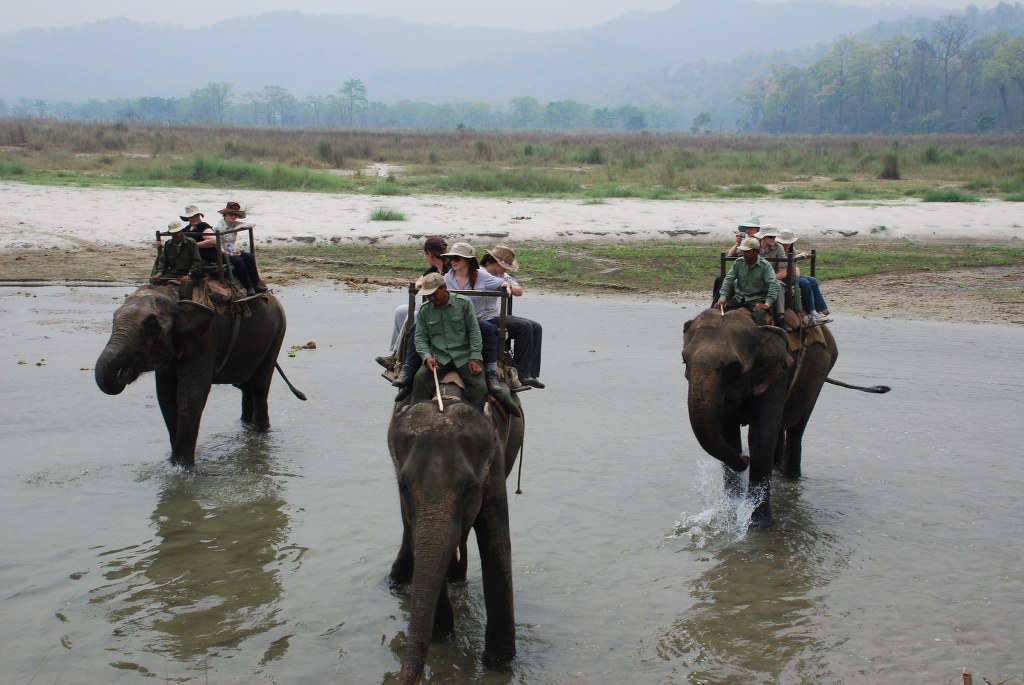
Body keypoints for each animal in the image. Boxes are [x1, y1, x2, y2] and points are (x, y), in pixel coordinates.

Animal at [95, 284, 305, 466]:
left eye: (152, 326)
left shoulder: (205, 339)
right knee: (246, 385)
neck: (176, 295)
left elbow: (192, 394)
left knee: (261, 383)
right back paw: (245, 425)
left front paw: (183, 469)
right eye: (113, 319)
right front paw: (174, 464)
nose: (126, 370)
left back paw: (260, 431)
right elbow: (165, 396)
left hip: (278, 333)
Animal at [387, 399, 516, 685]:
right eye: (403, 485)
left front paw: (500, 664)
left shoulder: (495, 464)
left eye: (469, 488)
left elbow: (497, 546)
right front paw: (443, 636)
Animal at [682, 308, 887, 527]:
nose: (745, 459)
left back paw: (791, 475)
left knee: (798, 425)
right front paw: (729, 513)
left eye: (733, 367)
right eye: (684, 360)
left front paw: (759, 526)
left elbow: (760, 436)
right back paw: (777, 467)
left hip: (820, 375)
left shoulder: (779, 373)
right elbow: (728, 433)